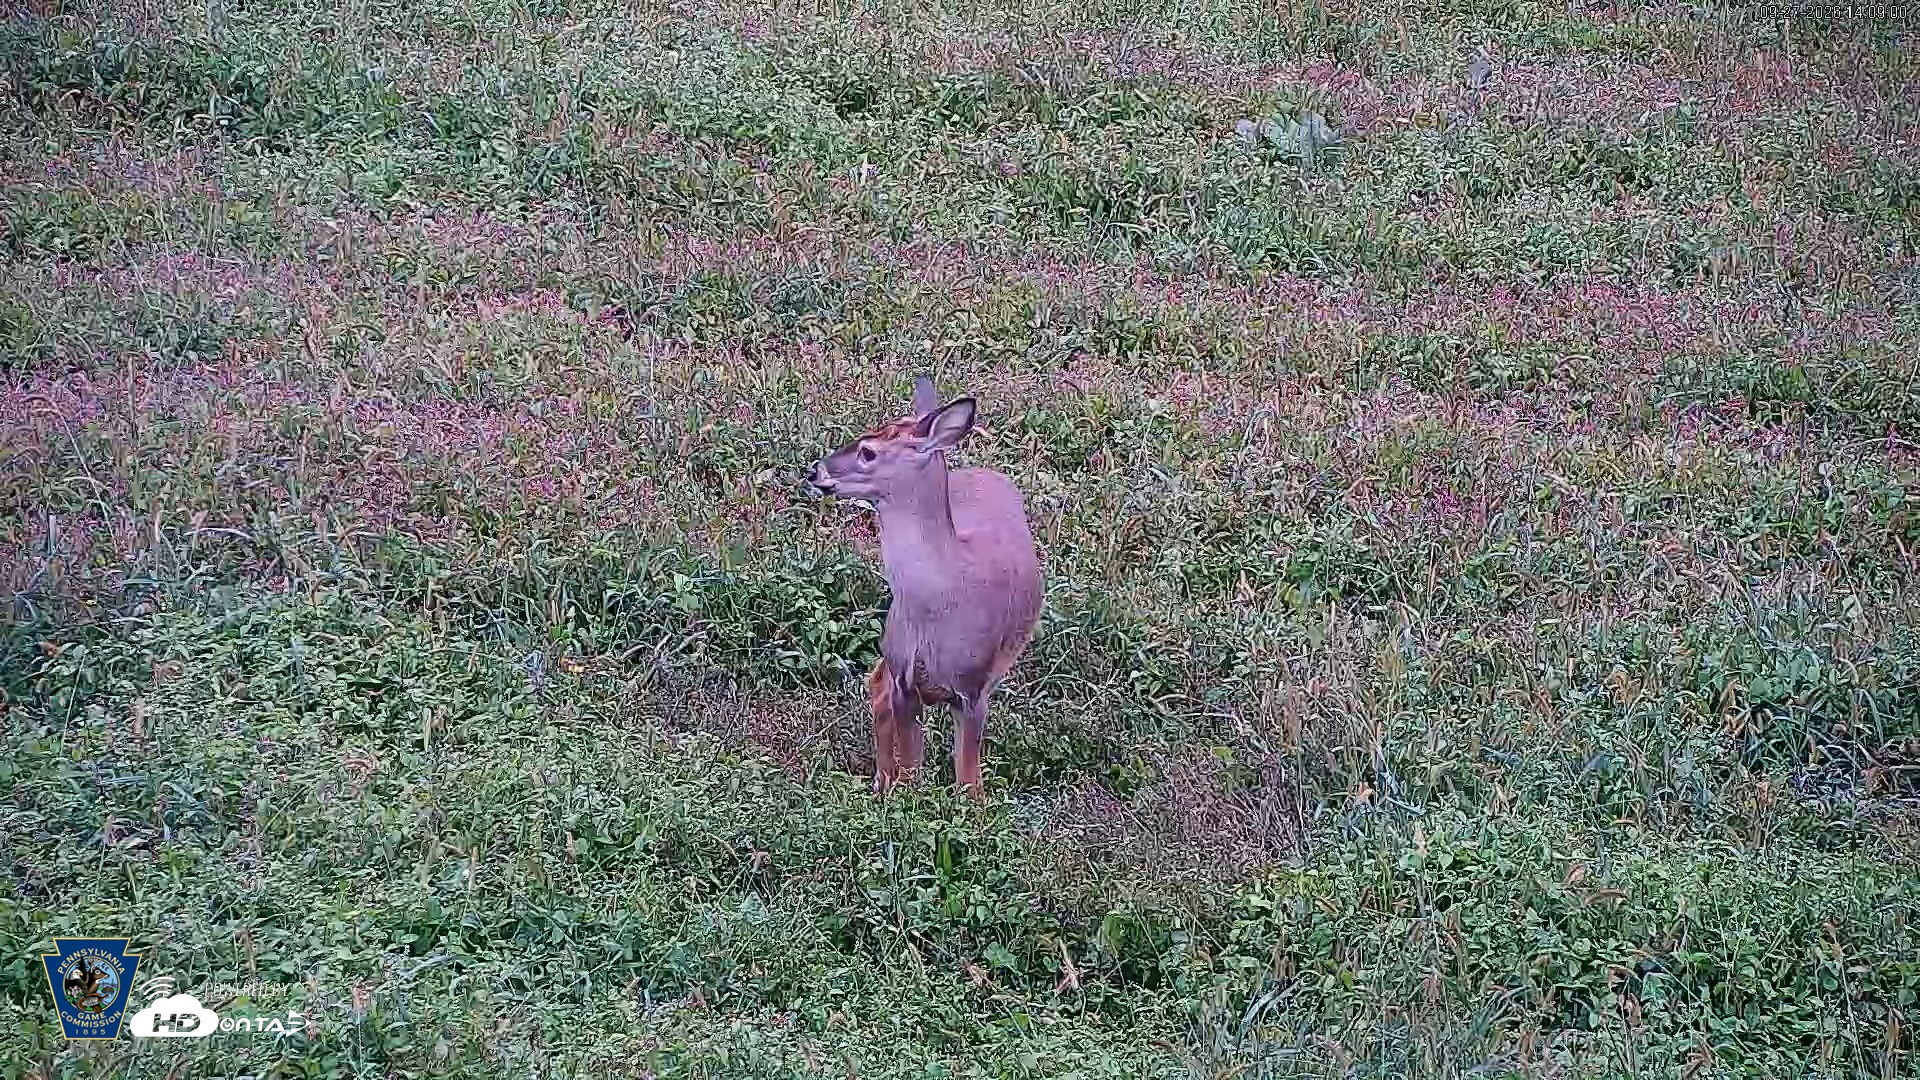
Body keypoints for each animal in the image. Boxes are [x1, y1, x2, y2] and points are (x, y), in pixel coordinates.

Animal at [807, 375, 1043, 799]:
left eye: (868, 452)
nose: (813, 471)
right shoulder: (906, 679)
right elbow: (912, 773)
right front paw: (897, 796)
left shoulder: (974, 690)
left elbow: (969, 783)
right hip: (892, 641)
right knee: (877, 685)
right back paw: (880, 781)